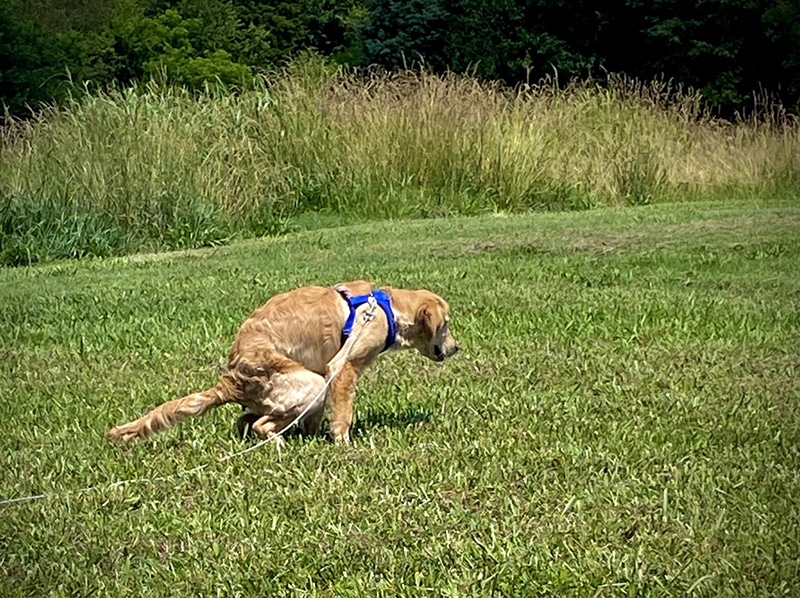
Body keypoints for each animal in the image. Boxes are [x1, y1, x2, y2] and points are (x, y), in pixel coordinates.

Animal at [106, 282, 460, 446]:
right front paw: (343, 443)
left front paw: (316, 436)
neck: (387, 307)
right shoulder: (342, 368)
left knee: (245, 419)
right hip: (311, 384)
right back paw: (276, 442)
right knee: (261, 424)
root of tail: (229, 379)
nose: (456, 347)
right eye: (446, 325)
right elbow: (343, 415)